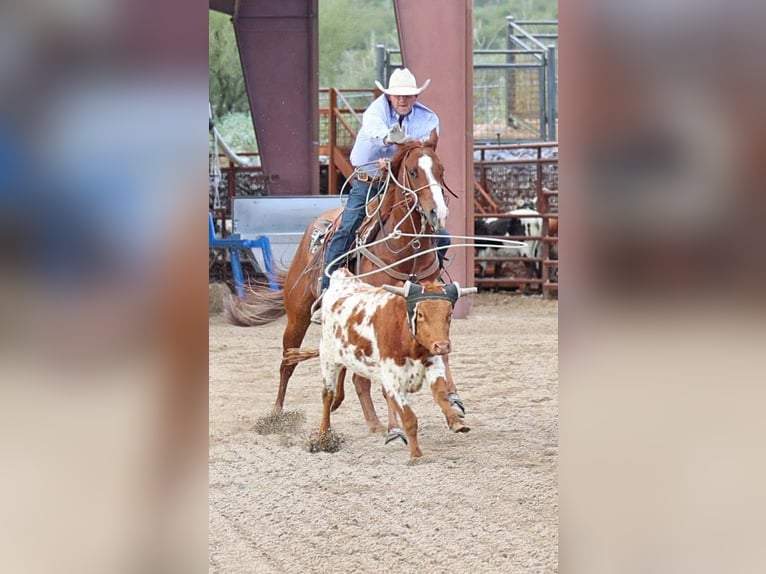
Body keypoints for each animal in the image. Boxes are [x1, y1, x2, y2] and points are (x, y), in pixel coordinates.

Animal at [225, 131, 467, 436]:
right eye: (413, 171)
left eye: (441, 170)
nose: (438, 213)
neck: (405, 251)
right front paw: (396, 426)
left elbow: (439, 355)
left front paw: (453, 411)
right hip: (298, 316)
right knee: (288, 361)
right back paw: (277, 415)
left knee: (350, 371)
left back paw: (365, 417)